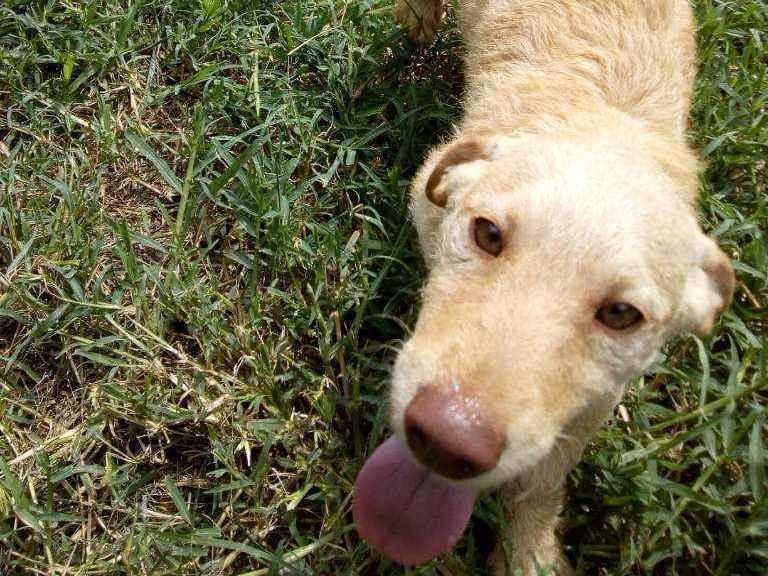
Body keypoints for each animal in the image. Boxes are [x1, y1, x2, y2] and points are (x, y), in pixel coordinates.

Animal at [352, 1, 734, 574]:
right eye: (487, 233)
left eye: (621, 313)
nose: (446, 441)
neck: (604, 119)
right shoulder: (427, 197)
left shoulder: (595, 400)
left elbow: (543, 481)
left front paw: (529, 550)